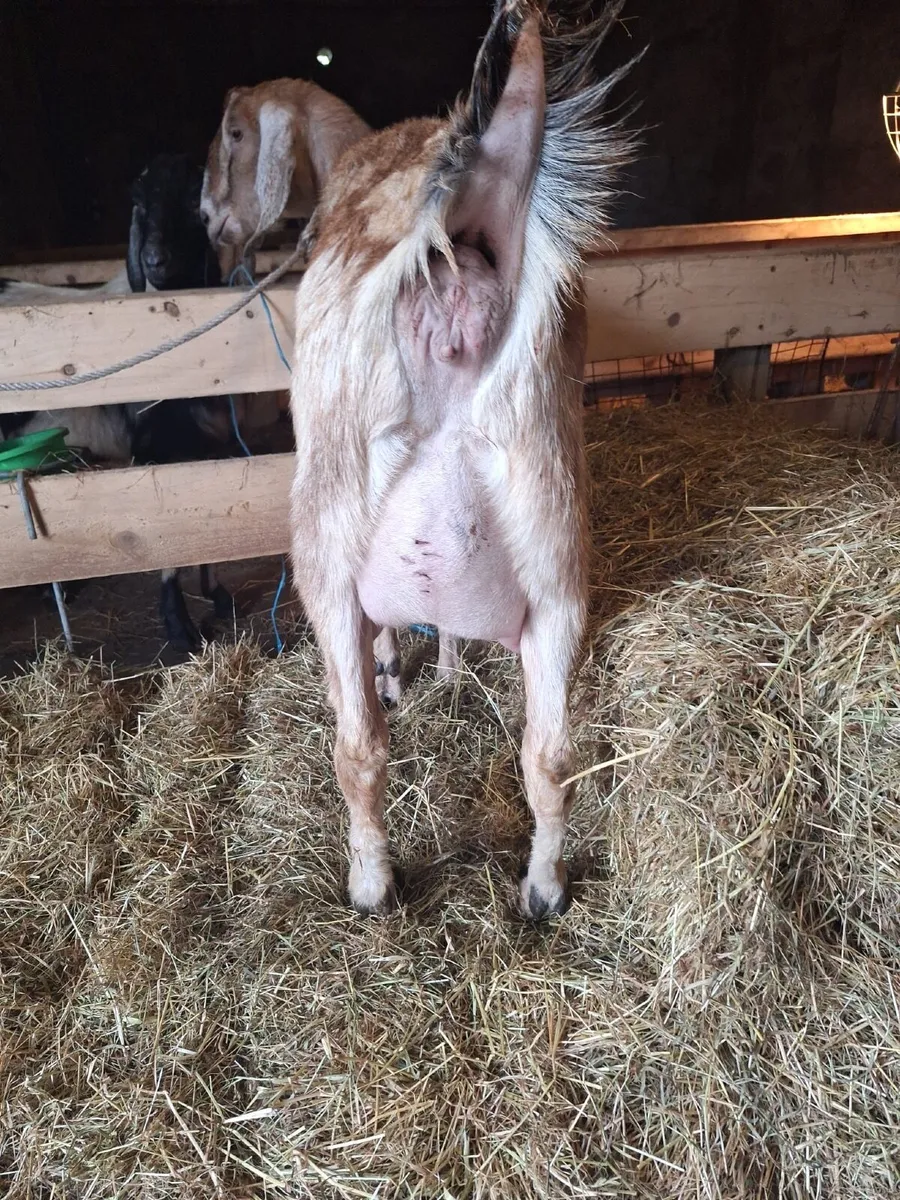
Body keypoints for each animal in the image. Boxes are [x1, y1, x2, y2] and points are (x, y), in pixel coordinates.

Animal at [0, 154, 240, 651]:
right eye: (140, 205)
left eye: (193, 203)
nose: (152, 261)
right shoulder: (156, 451)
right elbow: (169, 541)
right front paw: (179, 628)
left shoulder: (206, 446)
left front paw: (217, 596)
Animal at [288, 0, 635, 918]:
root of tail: (458, 269)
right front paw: (444, 671)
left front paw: (406, 673)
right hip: (555, 557)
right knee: (549, 757)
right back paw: (543, 890)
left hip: (325, 550)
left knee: (359, 748)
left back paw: (373, 885)